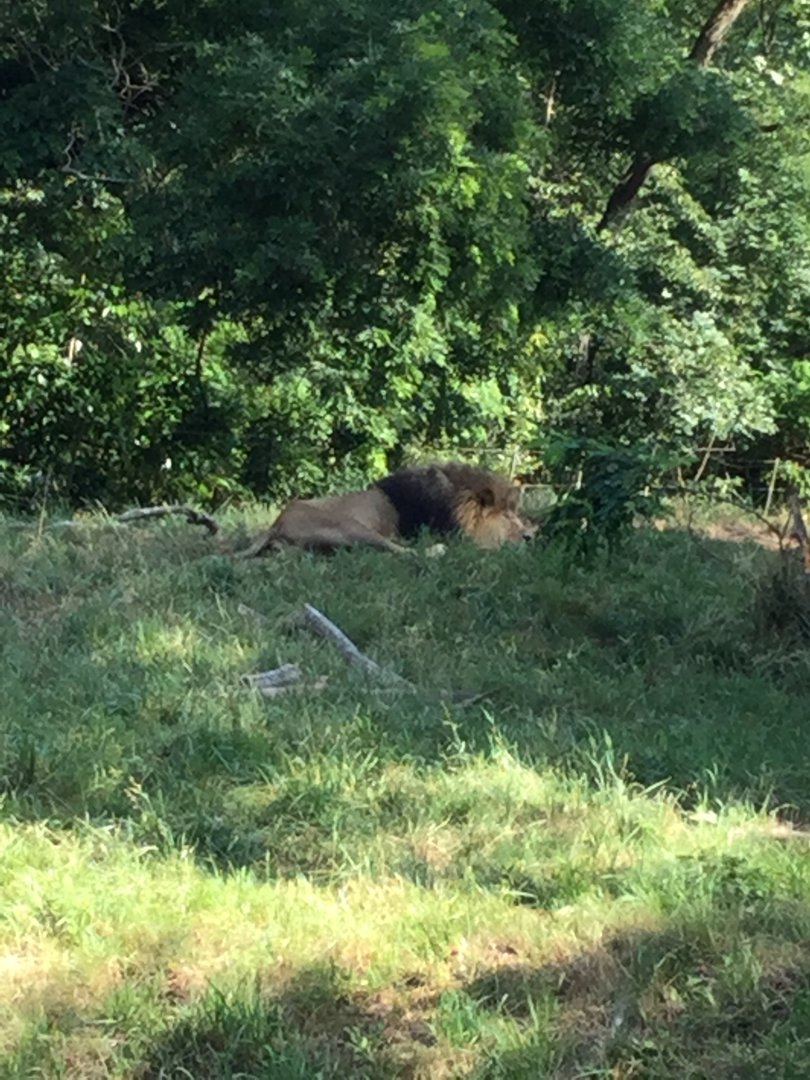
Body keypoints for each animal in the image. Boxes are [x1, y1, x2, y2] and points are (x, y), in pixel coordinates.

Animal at [240, 461, 537, 557]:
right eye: (507, 515)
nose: (529, 537)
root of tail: (276, 524)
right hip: (353, 526)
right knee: (404, 552)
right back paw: (435, 551)